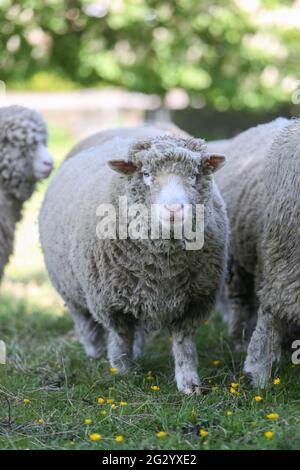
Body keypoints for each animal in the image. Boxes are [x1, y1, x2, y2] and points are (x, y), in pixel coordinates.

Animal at [39, 125, 227, 392]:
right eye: (146, 174)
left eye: (193, 174)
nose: (173, 210)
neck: (164, 265)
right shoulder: (110, 302)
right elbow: (121, 338)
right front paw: (122, 372)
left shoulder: (195, 301)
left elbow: (184, 345)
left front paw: (189, 383)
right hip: (70, 289)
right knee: (86, 323)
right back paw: (95, 352)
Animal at [207, 116, 300, 386]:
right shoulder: (285, 267)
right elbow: (269, 315)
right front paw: (257, 373)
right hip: (239, 261)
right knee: (242, 303)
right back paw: (240, 340)